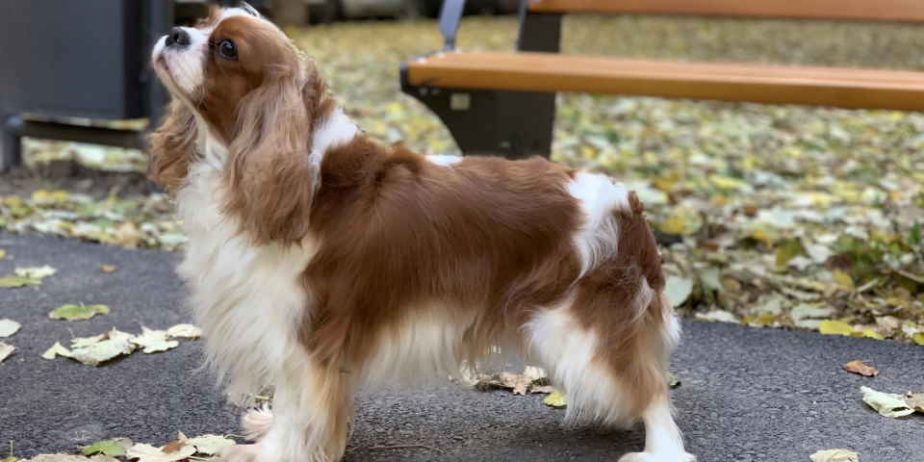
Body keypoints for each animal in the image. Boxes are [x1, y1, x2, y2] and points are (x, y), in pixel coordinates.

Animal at [150, 4, 692, 462]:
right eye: (201, 21)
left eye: (227, 48)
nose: (174, 32)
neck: (308, 175)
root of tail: (628, 204)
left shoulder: (304, 331)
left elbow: (297, 404)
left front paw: (274, 453)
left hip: (579, 330)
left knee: (650, 390)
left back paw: (661, 450)